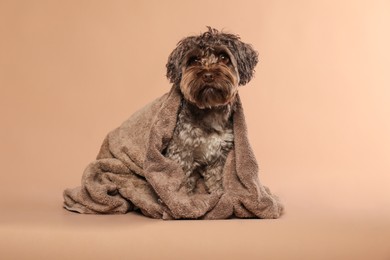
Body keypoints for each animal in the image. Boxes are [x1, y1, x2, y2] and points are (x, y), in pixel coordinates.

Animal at [64, 86, 284, 219]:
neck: (208, 114)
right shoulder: (180, 152)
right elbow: (180, 181)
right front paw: (184, 204)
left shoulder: (218, 157)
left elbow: (216, 180)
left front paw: (219, 197)